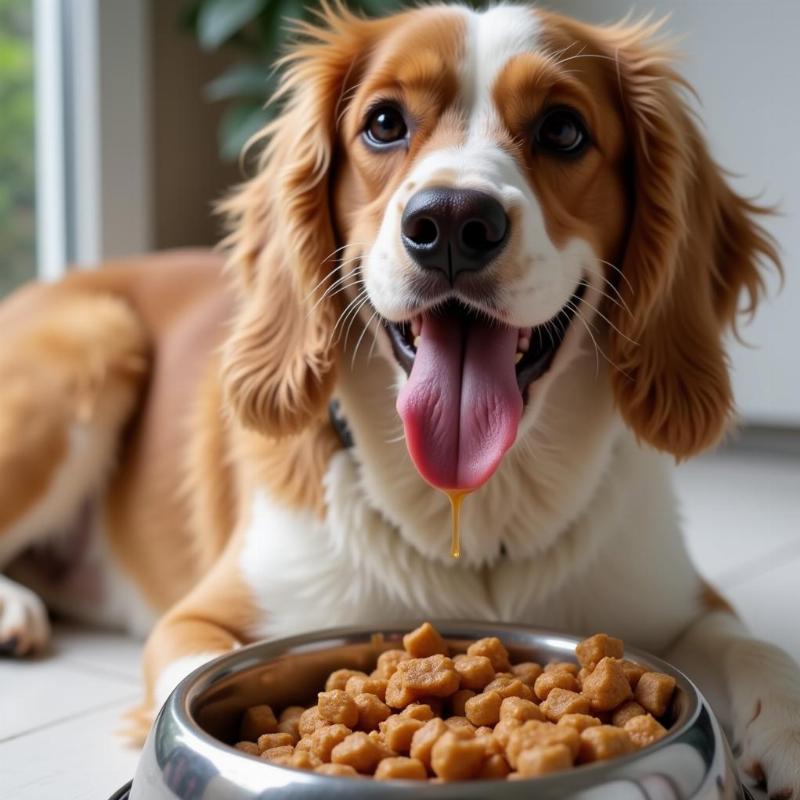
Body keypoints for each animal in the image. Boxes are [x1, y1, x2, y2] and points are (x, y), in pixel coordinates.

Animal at [1, 3, 800, 792]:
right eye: (384, 123)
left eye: (563, 130)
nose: (449, 221)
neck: (477, 508)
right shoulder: (195, 619)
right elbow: (188, 678)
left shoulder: (683, 604)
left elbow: (757, 652)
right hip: (95, 347)